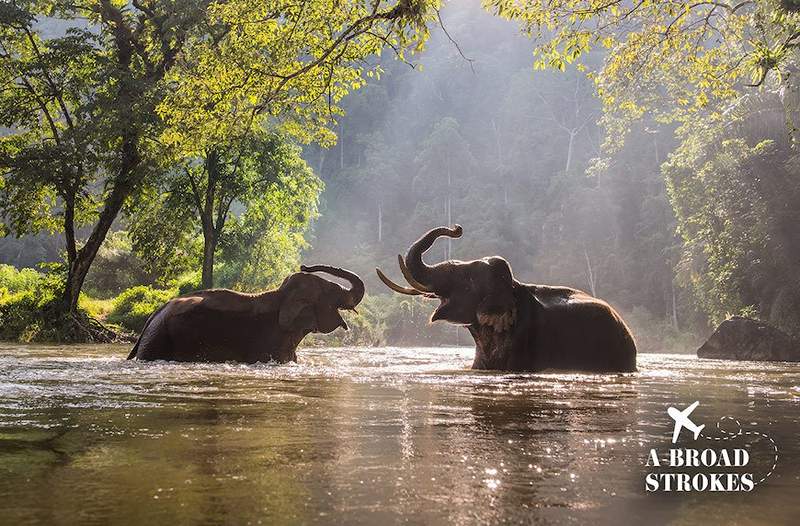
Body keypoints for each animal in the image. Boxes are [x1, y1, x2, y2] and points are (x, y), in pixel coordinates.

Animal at [126, 266, 364, 366]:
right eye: (331, 291)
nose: (304, 265)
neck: (281, 295)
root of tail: (153, 316)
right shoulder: (270, 341)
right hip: (158, 340)